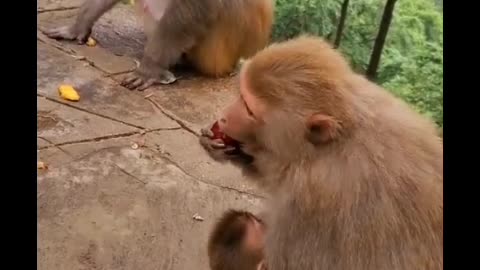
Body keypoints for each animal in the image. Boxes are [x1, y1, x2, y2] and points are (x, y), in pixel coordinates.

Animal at [200, 35, 442, 270]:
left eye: (249, 110)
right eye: (240, 94)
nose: (224, 117)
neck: (334, 142)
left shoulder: (310, 202)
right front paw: (217, 145)